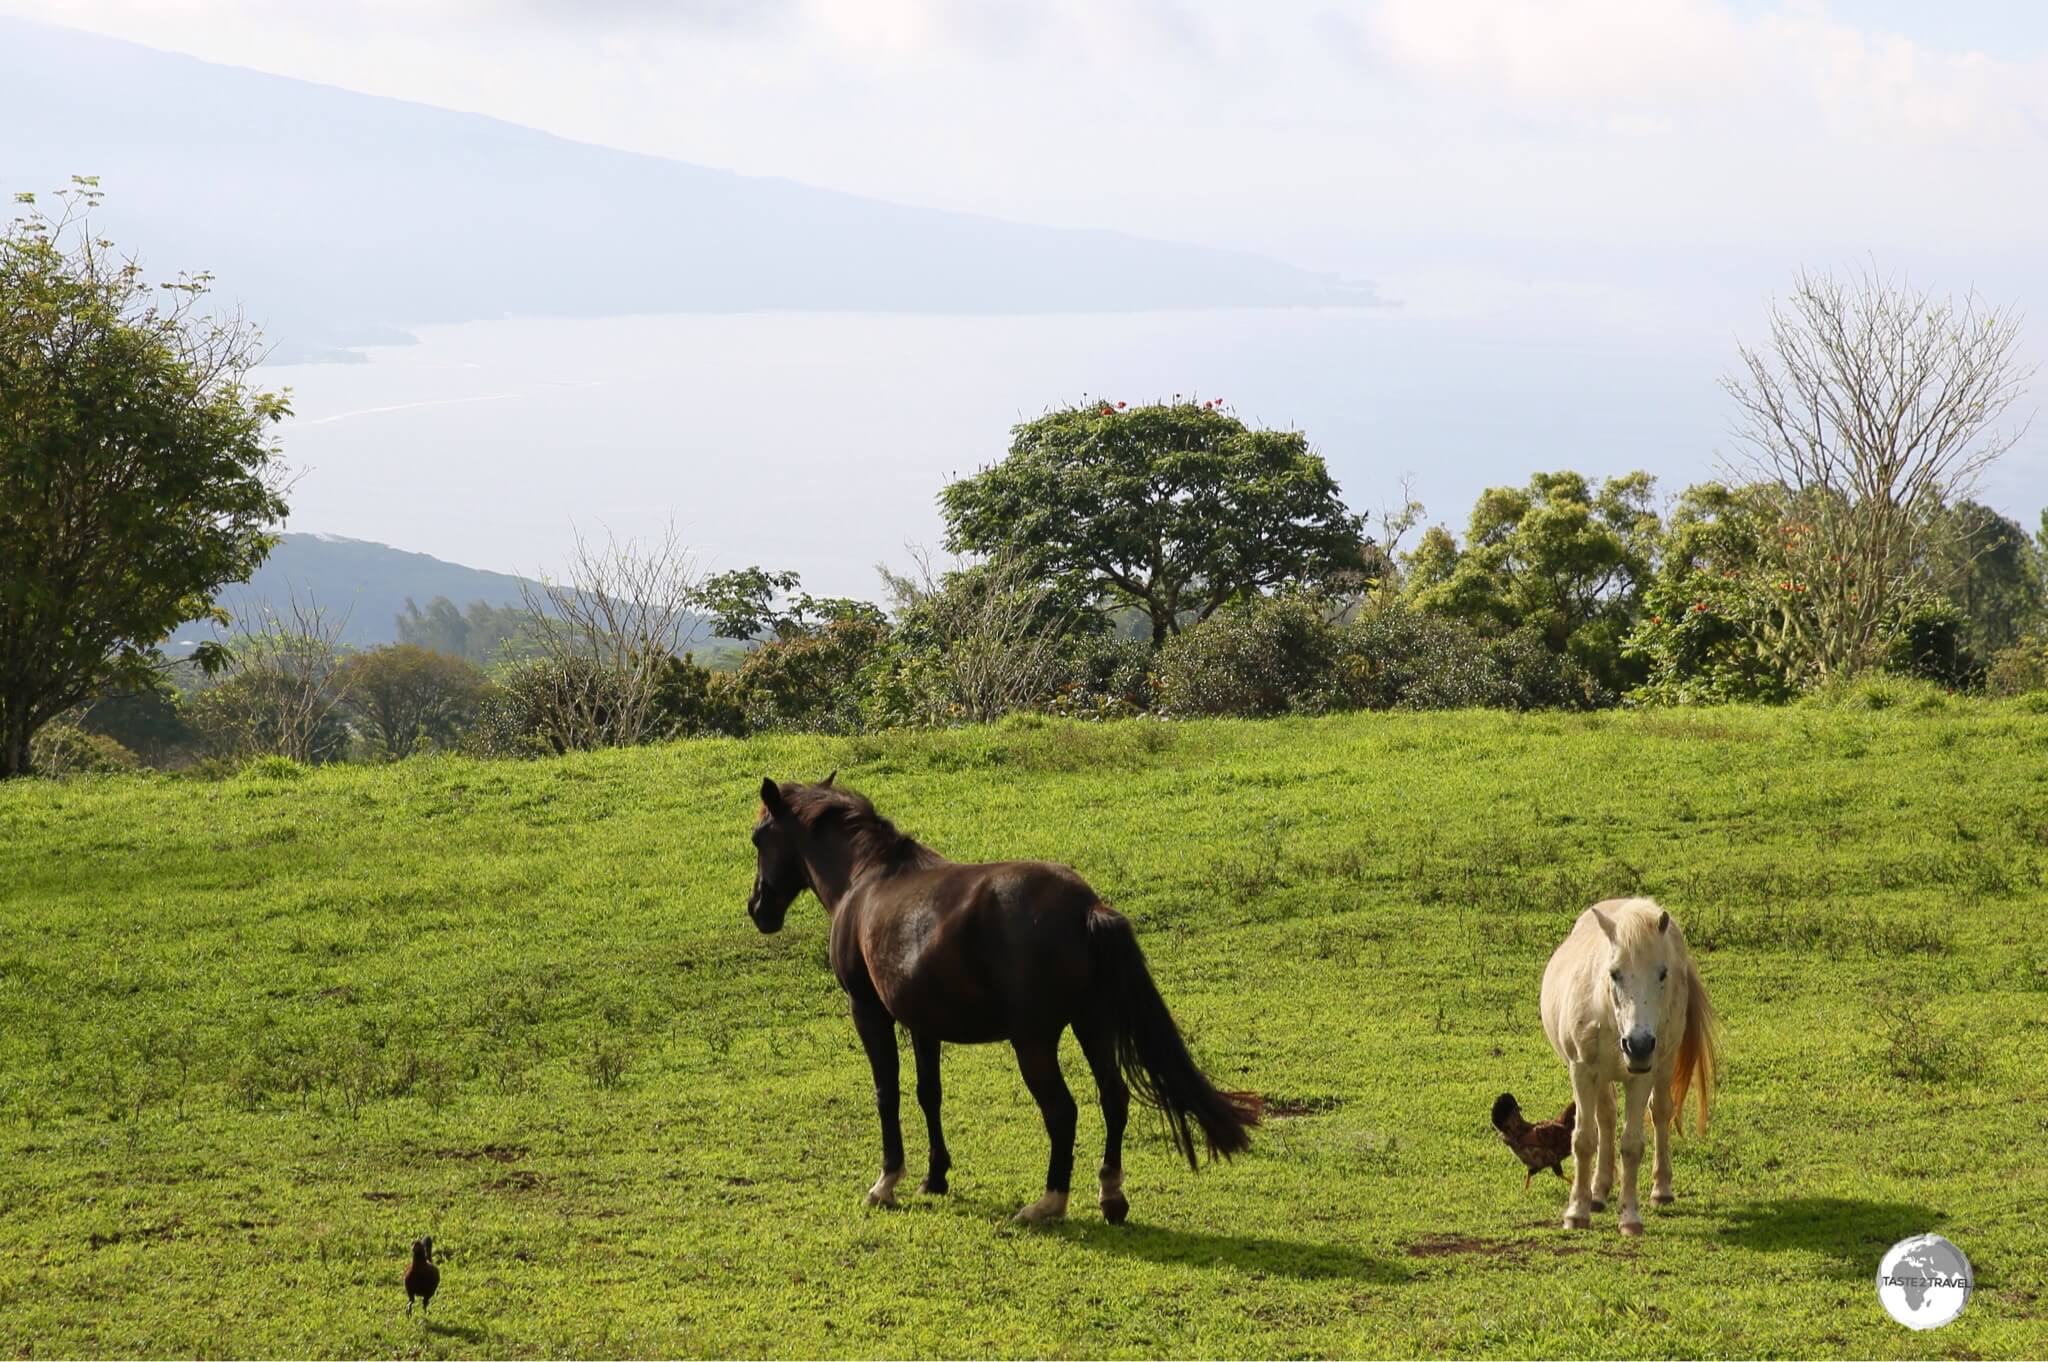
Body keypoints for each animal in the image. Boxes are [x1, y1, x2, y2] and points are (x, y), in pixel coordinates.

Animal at [745, 774, 1253, 1220]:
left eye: (757, 838)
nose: (757, 908)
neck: (867, 879)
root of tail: (1087, 907)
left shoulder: (869, 1012)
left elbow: (886, 1093)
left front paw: (887, 1182)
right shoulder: (923, 1023)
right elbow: (929, 1094)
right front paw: (935, 1177)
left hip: (1034, 1041)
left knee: (1062, 1111)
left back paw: (1049, 1203)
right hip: (1092, 1024)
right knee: (1114, 1097)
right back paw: (1110, 1196)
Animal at [1540, 897, 1712, 1237]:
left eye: (1662, 973)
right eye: (1615, 973)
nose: (1639, 1045)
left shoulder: (1641, 1077)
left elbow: (1632, 1145)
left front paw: (1630, 1217)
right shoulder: (1582, 1071)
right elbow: (1584, 1139)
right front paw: (1577, 1212)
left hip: (1663, 1064)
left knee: (1660, 1113)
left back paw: (1661, 1190)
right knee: (1605, 1118)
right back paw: (1598, 1192)